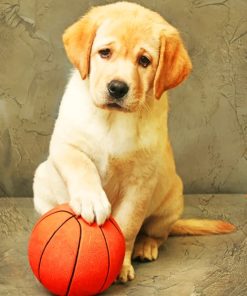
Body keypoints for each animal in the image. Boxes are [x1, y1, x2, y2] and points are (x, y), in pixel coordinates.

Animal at [32, 1, 233, 282]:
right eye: (105, 53)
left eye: (144, 61)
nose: (117, 88)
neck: (113, 119)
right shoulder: (64, 145)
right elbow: (82, 165)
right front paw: (92, 200)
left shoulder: (140, 183)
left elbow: (127, 226)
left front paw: (121, 265)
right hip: (42, 179)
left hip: (172, 201)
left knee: (156, 233)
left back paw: (145, 246)